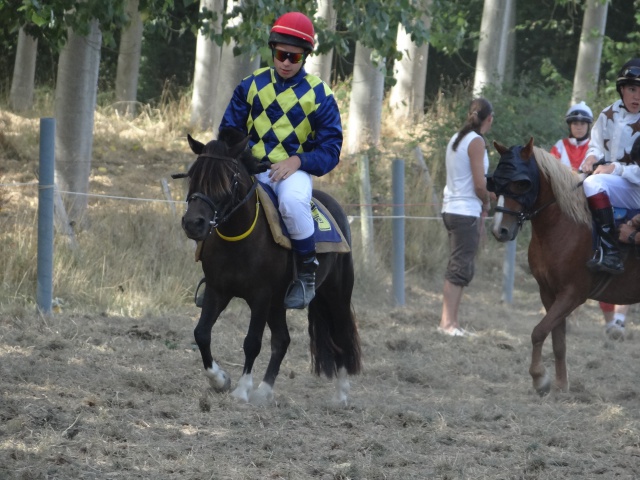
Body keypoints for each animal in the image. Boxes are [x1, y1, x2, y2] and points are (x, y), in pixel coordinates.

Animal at [174, 127, 360, 404]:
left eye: (226, 180)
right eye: (193, 175)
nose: (193, 223)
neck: (239, 238)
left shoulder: (260, 296)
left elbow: (252, 342)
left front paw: (242, 390)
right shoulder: (218, 291)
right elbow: (202, 333)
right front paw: (220, 380)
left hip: (335, 294)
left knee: (341, 336)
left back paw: (341, 394)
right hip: (278, 303)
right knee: (282, 340)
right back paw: (264, 390)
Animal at [488, 137, 640, 396]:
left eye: (521, 184)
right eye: (495, 181)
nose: (501, 230)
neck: (564, 225)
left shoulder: (572, 294)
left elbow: (539, 331)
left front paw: (540, 378)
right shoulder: (550, 293)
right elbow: (558, 340)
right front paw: (560, 385)